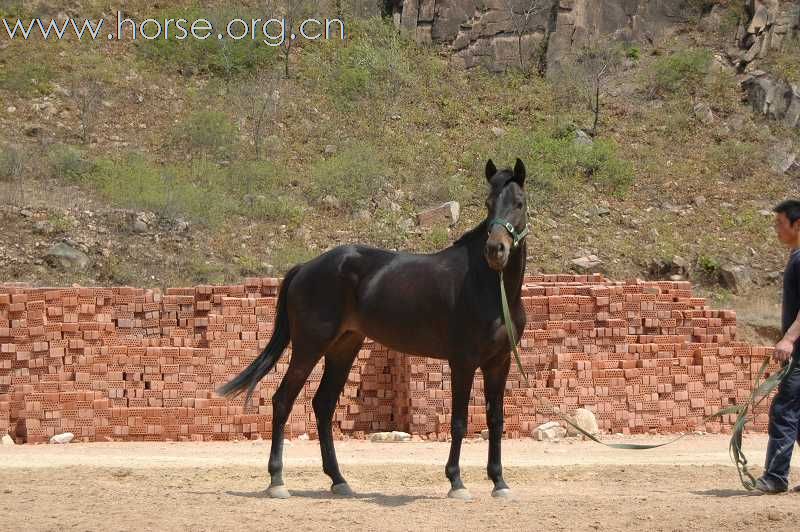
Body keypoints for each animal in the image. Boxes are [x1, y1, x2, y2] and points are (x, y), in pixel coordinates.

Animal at [220, 158, 532, 498]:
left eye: (519, 203)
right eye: (488, 204)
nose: (495, 250)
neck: (489, 286)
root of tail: (305, 267)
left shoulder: (499, 363)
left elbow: (496, 419)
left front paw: (499, 482)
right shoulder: (462, 362)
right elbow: (460, 421)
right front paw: (456, 482)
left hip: (343, 348)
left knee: (323, 404)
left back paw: (338, 480)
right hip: (309, 347)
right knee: (282, 401)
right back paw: (277, 480)